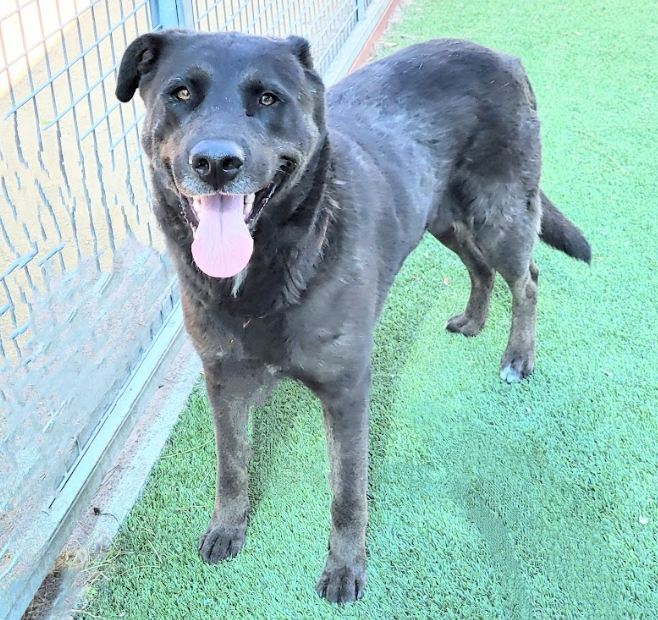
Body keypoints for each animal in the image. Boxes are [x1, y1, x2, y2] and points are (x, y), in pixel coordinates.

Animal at [116, 30, 588, 604]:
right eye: (180, 94)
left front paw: (345, 567)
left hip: (500, 215)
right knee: (480, 268)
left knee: (528, 280)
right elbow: (230, 465)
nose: (216, 163)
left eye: (268, 98)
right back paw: (474, 320)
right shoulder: (223, 378)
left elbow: (347, 492)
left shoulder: (346, 391)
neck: (270, 268)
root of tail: (502, 56)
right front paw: (227, 527)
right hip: (439, 216)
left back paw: (518, 356)